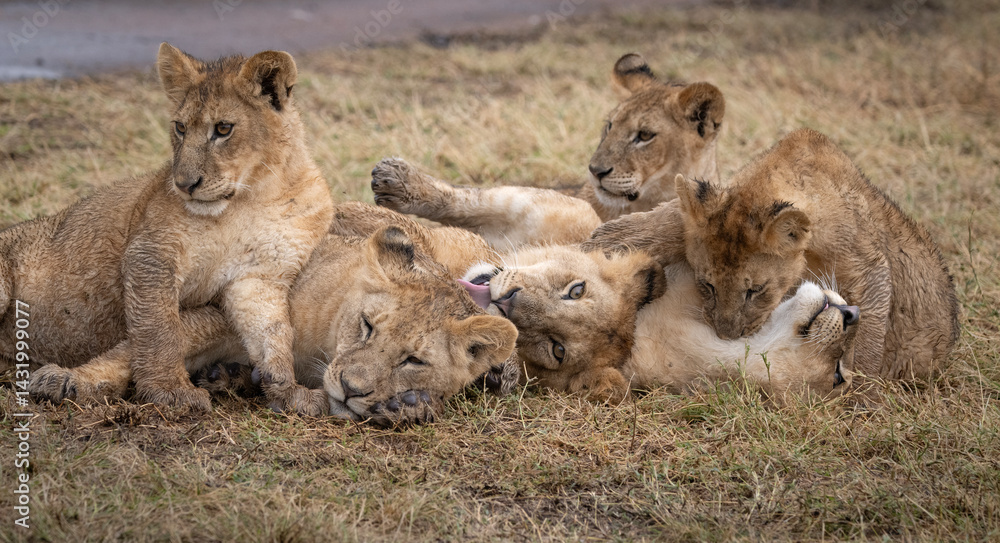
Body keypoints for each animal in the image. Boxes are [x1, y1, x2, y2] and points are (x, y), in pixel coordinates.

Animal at [5, 44, 335, 414]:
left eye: (223, 129)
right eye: (179, 127)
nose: (184, 184)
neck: (254, 196)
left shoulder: (260, 276)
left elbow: (273, 334)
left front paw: (290, 392)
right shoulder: (151, 254)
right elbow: (159, 329)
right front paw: (170, 391)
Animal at [27, 226, 518, 426]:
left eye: (413, 360)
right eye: (366, 327)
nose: (350, 389)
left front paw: (407, 406)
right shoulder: (227, 308)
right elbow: (139, 347)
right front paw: (69, 380)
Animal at [371, 53, 725, 247]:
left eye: (645, 136)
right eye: (609, 126)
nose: (596, 171)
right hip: (541, 206)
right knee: (468, 199)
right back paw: (396, 181)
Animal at [586, 129, 960, 382]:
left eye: (756, 290)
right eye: (707, 286)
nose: (728, 336)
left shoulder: (869, 265)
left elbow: (868, 337)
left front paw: (860, 395)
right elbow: (668, 219)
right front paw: (605, 242)